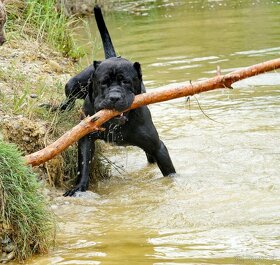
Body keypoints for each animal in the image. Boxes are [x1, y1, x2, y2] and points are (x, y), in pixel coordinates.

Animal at [63, 5, 175, 196]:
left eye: (126, 82)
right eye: (103, 83)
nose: (114, 97)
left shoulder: (157, 147)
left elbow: (169, 172)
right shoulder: (85, 138)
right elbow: (83, 165)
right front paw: (78, 188)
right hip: (73, 85)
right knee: (68, 100)